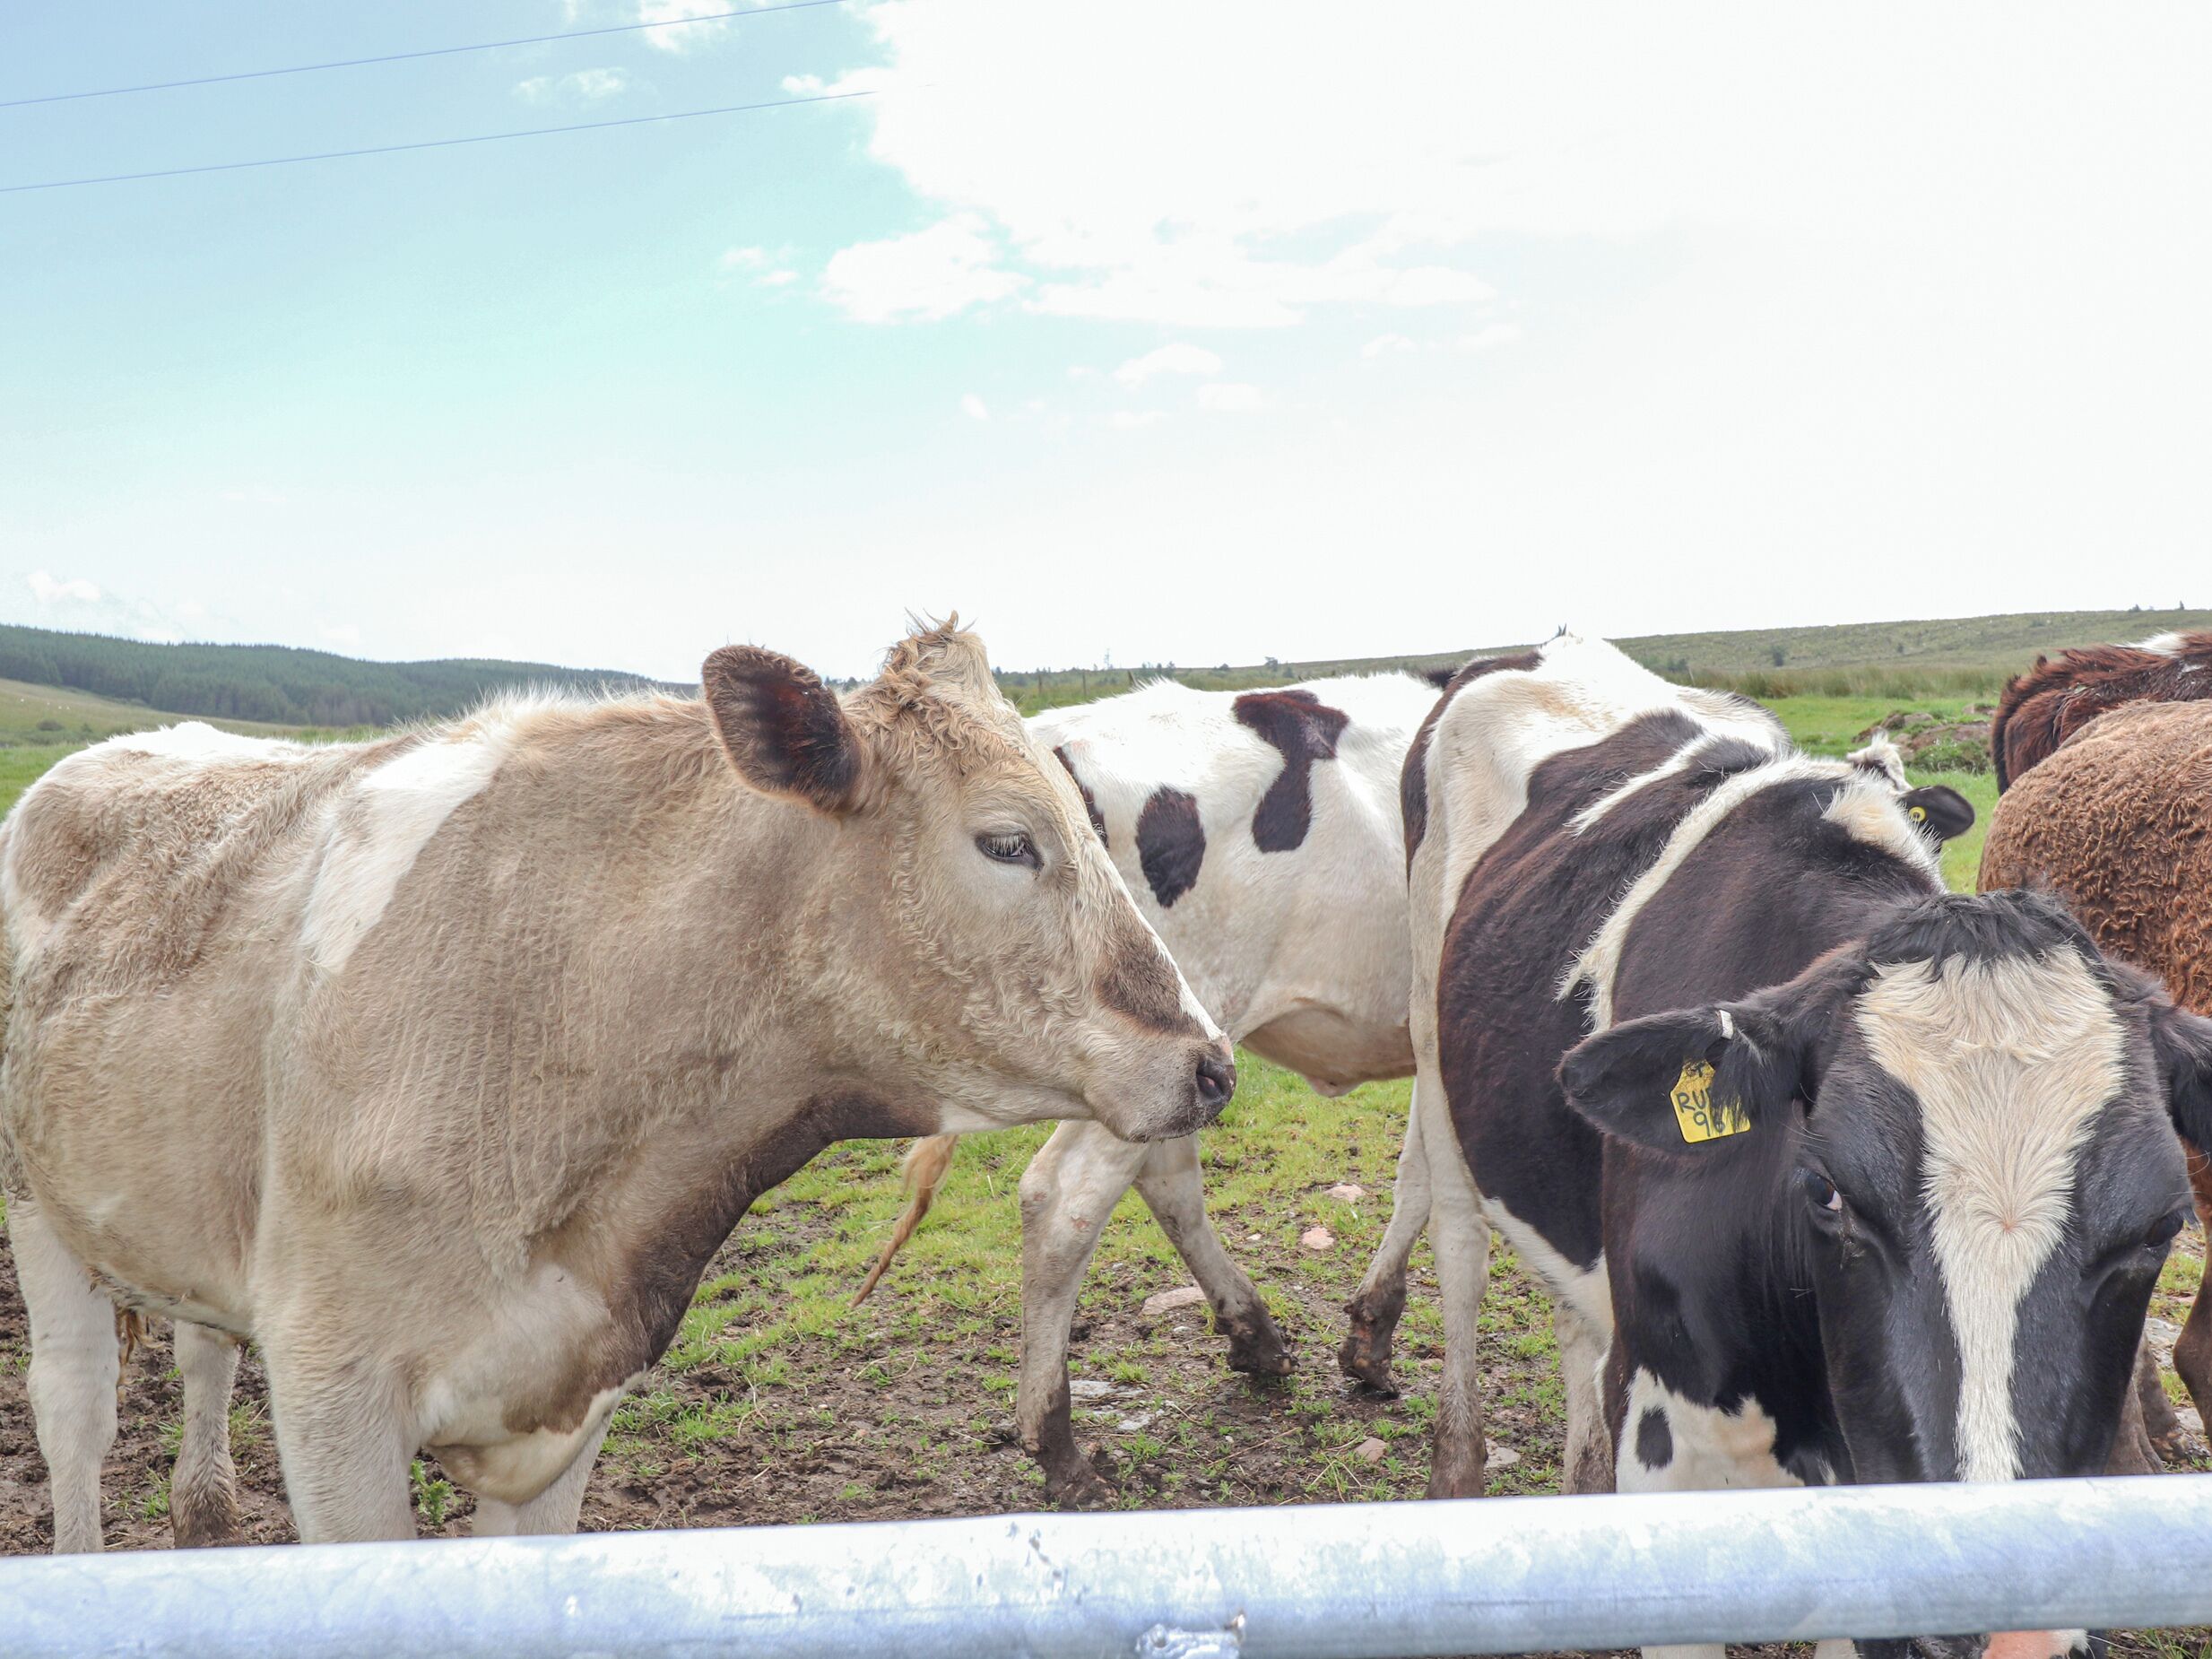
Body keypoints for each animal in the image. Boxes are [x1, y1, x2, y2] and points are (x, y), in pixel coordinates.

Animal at [0, 620, 1236, 1550]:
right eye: (1007, 842)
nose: (1210, 1062)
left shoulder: (569, 1390)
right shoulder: (331, 1392)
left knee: (200, 1349)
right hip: (36, 1206)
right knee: (74, 1416)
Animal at [854, 671, 1441, 1502]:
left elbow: (1419, 1173)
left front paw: (1369, 1338)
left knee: (1165, 1178)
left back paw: (1253, 1336)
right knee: (1064, 1197)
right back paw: (1057, 1446)